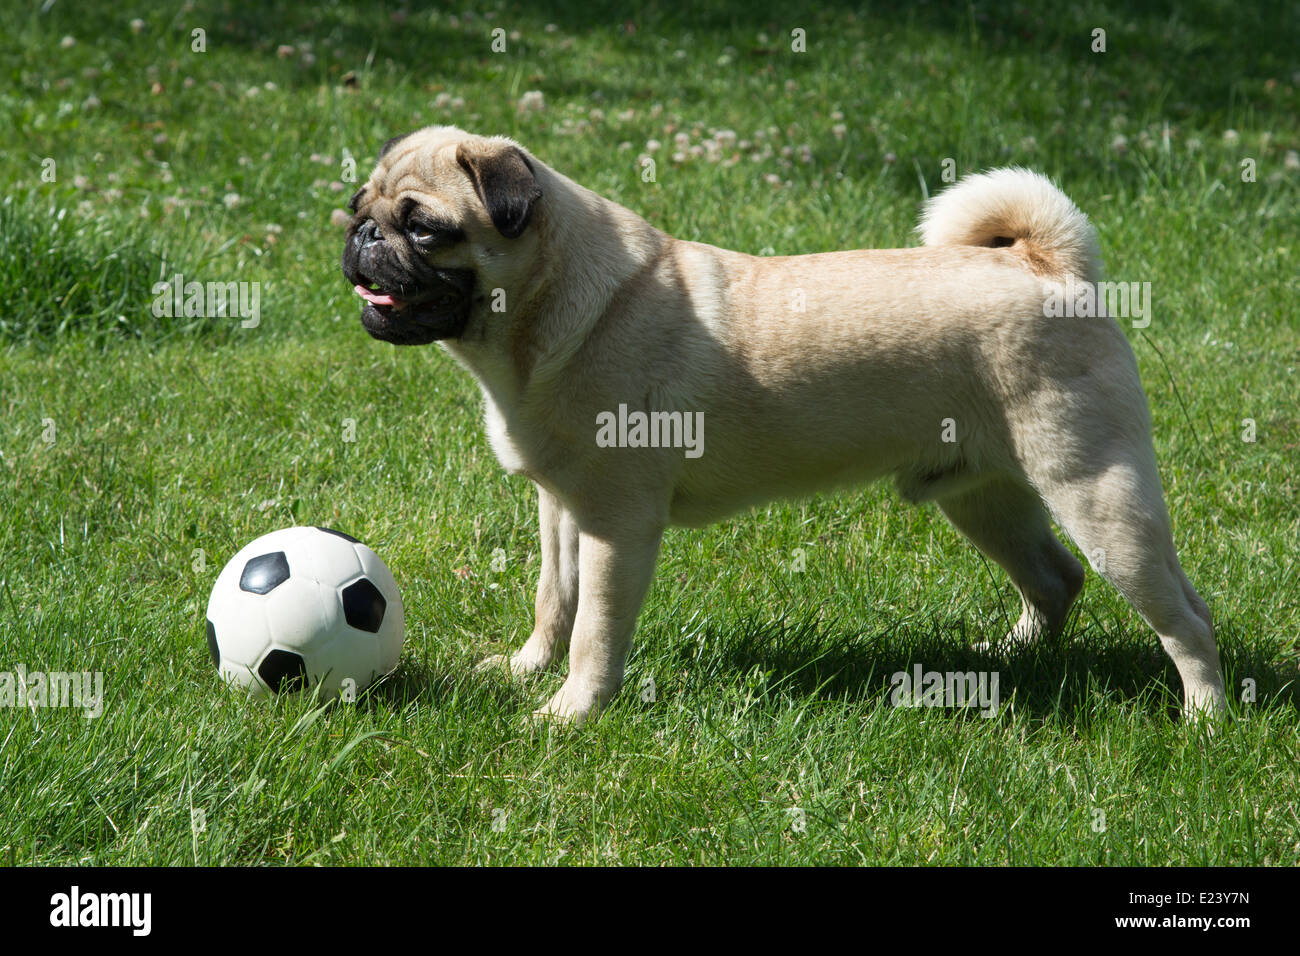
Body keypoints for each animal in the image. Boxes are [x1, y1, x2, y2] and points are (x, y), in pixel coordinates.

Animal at [340, 127, 1222, 723]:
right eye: (359, 208)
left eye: (424, 227)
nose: (361, 235)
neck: (546, 313)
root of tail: (1045, 264)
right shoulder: (561, 510)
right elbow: (553, 602)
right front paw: (527, 669)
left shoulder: (617, 525)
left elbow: (595, 628)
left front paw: (573, 711)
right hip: (982, 497)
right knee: (1055, 578)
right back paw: (1009, 656)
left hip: (1097, 494)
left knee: (1184, 617)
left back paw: (1204, 718)